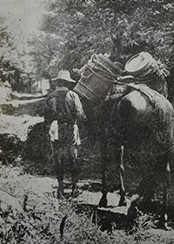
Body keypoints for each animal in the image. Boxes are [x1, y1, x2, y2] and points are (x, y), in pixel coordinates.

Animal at [98, 83, 174, 229]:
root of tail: (159, 105)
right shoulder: (119, 140)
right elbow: (120, 166)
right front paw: (122, 199)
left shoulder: (106, 136)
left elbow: (105, 165)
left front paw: (104, 199)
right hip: (164, 145)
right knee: (164, 173)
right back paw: (162, 217)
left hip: (144, 143)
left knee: (150, 171)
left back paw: (137, 208)